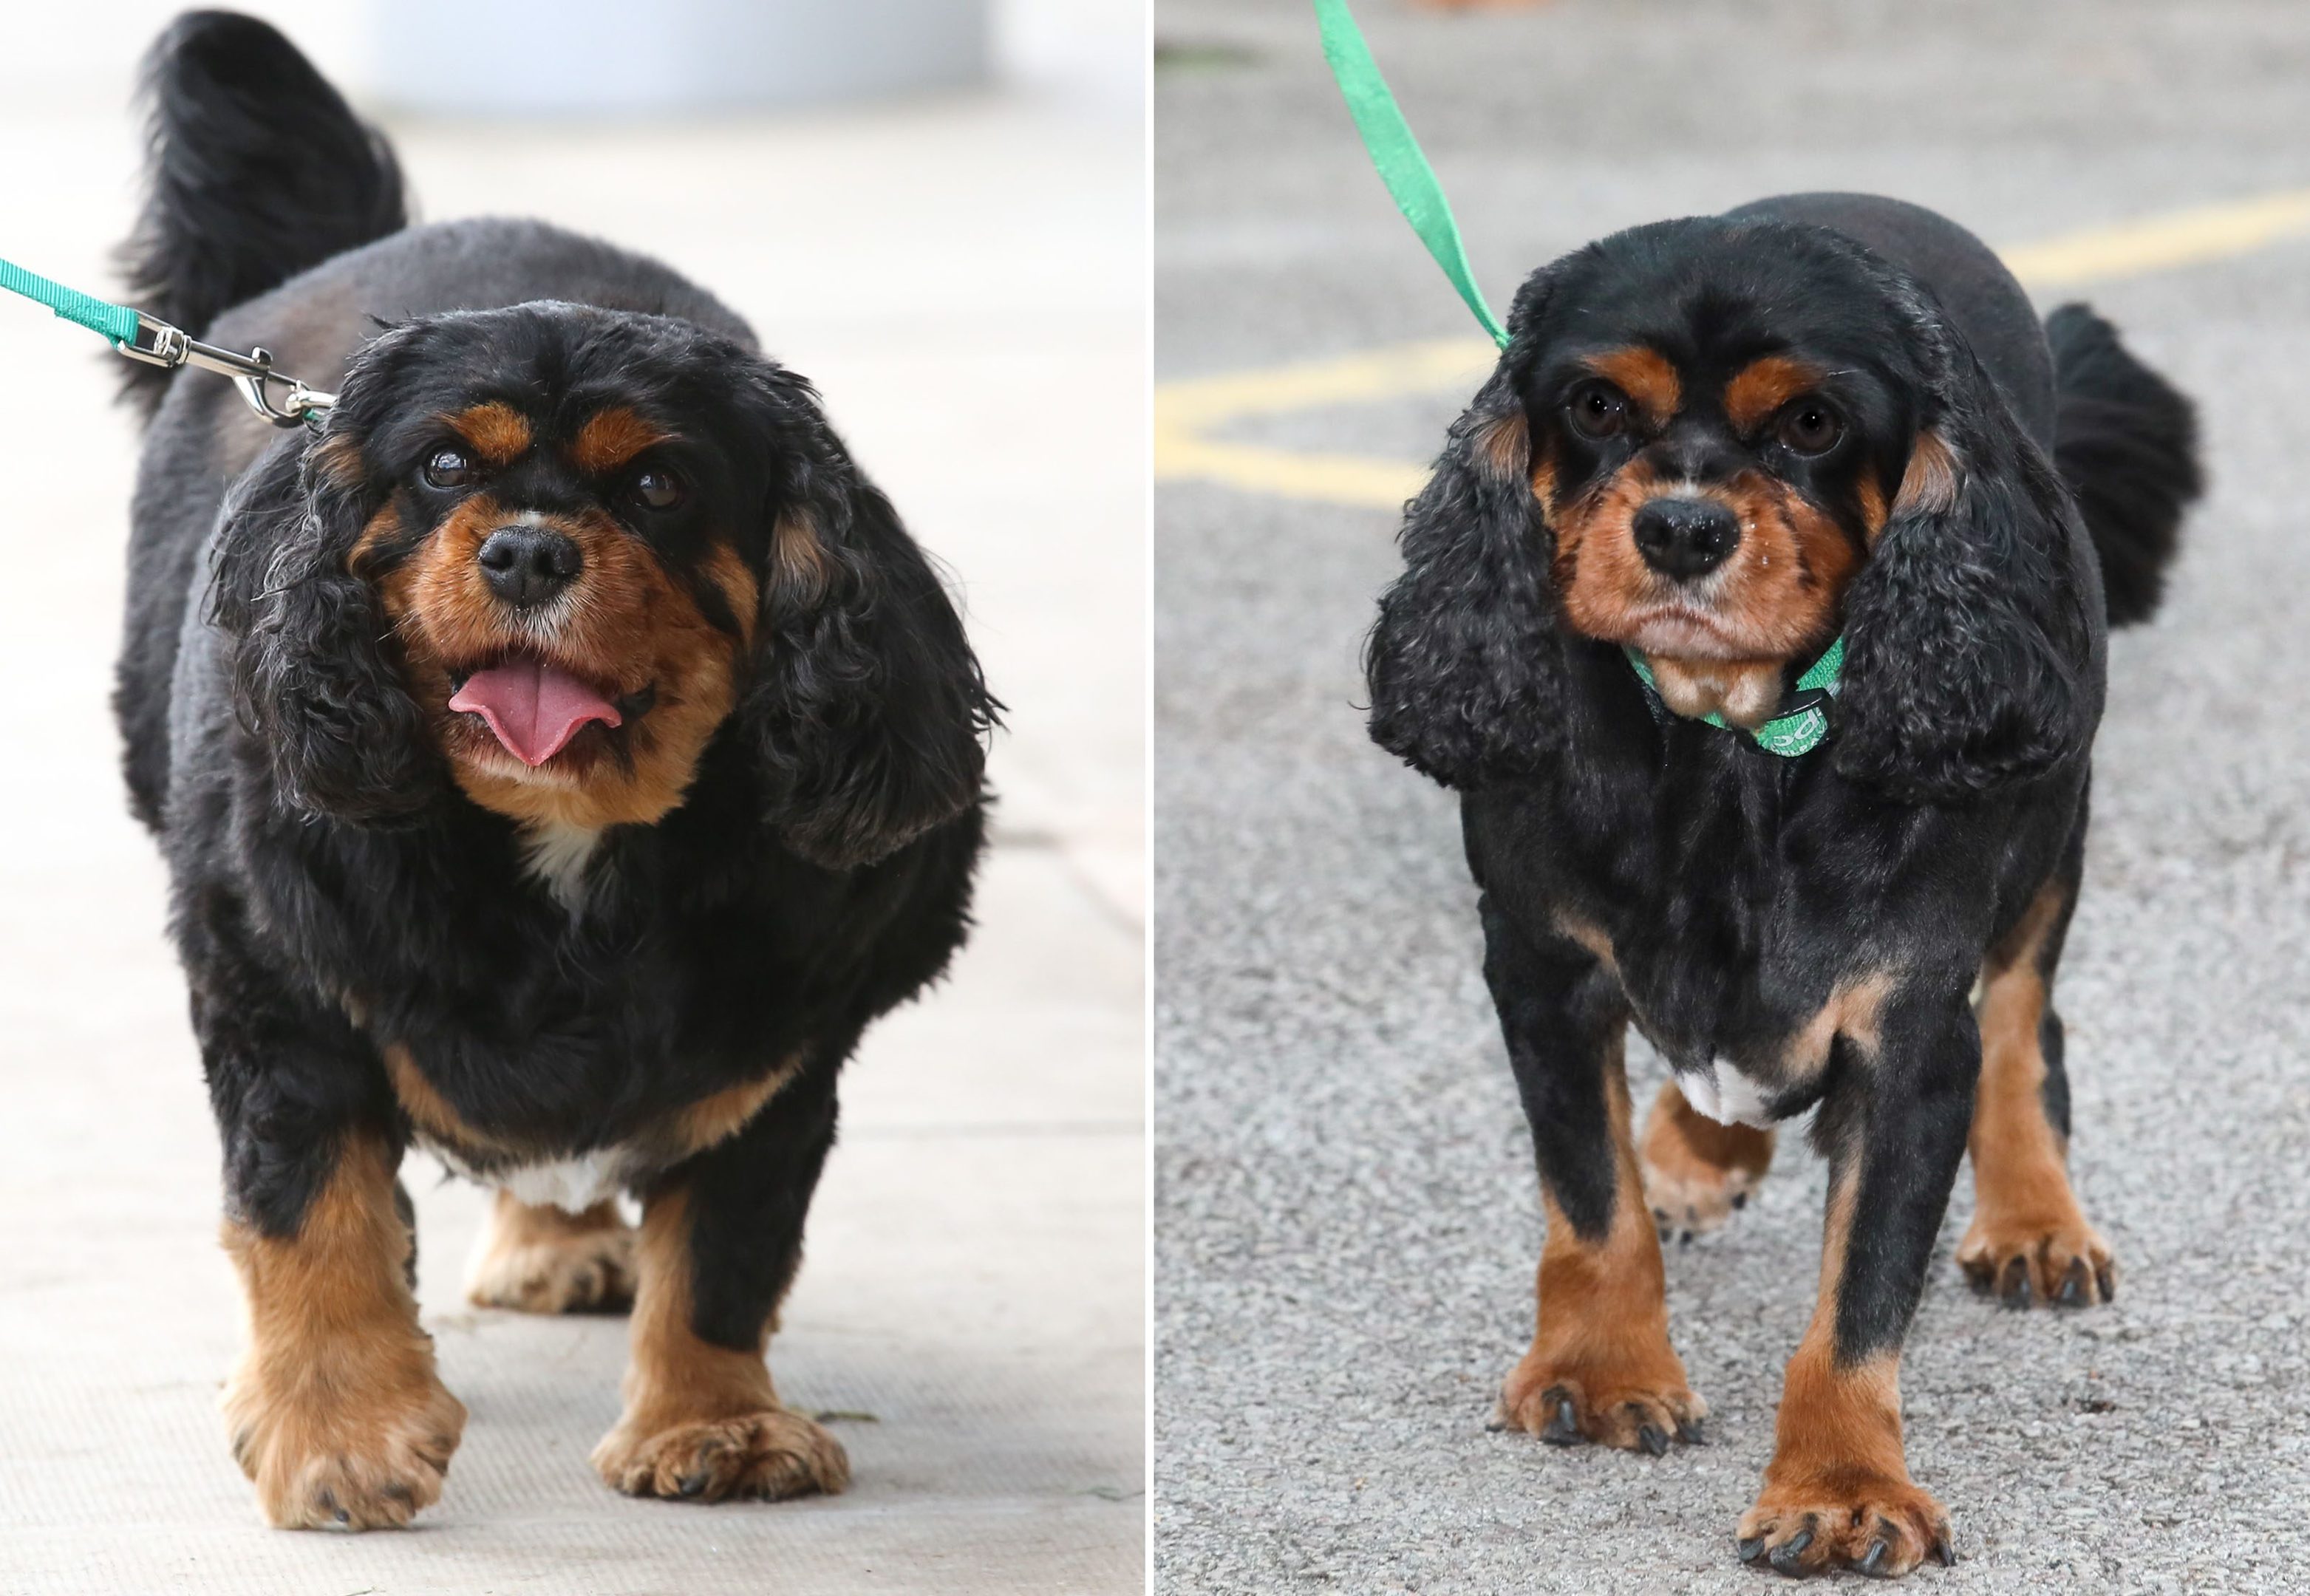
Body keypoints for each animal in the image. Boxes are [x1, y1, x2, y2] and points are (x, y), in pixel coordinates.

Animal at [112, 16, 993, 1533]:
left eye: (657, 486)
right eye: (439, 465)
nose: (525, 548)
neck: (571, 836)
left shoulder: (782, 1038)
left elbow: (732, 1243)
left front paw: (714, 1427)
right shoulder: (278, 983)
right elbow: (310, 1213)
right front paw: (338, 1436)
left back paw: (563, 1239)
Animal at [1367, 194, 2198, 1580]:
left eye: (1812, 424)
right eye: (1595, 405)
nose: (1682, 526)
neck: (1725, 748)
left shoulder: (1907, 1033)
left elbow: (1860, 1296)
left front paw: (1842, 1489)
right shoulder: (1539, 964)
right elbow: (1590, 1195)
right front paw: (1602, 1372)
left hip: (2048, 816)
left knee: (2024, 1016)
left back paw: (2034, 1220)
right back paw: (1698, 1147)